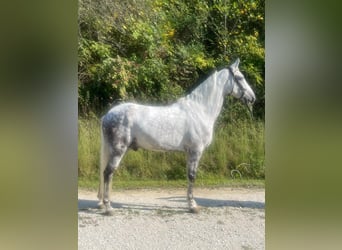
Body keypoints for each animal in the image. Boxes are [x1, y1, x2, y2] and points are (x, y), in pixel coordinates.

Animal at [97, 58, 255, 215]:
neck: (199, 110)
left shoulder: (189, 152)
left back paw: (104, 204)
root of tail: (108, 115)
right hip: (118, 150)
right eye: (240, 77)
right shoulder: (195, 151)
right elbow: (192, 176)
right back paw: (108, 207)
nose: (252, 98)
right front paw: (192, 206)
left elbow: (189, 175)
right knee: (108, 173)